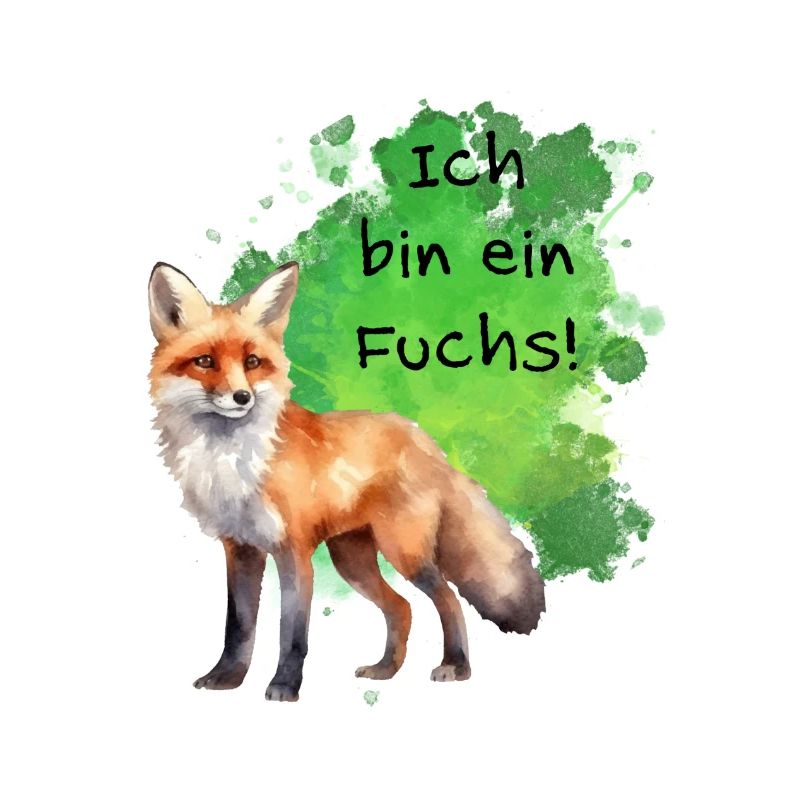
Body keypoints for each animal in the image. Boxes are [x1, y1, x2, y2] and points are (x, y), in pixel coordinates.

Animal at [148, 260, 545, 701]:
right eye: (204, 361)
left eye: (252, 362)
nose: (242, 398)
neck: (232, 459)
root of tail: (424, 440)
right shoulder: (241, 549)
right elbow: (238, 626)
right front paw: (227, 678)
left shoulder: (293, 552)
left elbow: (292, 634)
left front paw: (284, 686)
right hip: (352, 561)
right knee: (402, 607)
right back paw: (386, 669)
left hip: (403, 552)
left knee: (448, 600)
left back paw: (456, 666)